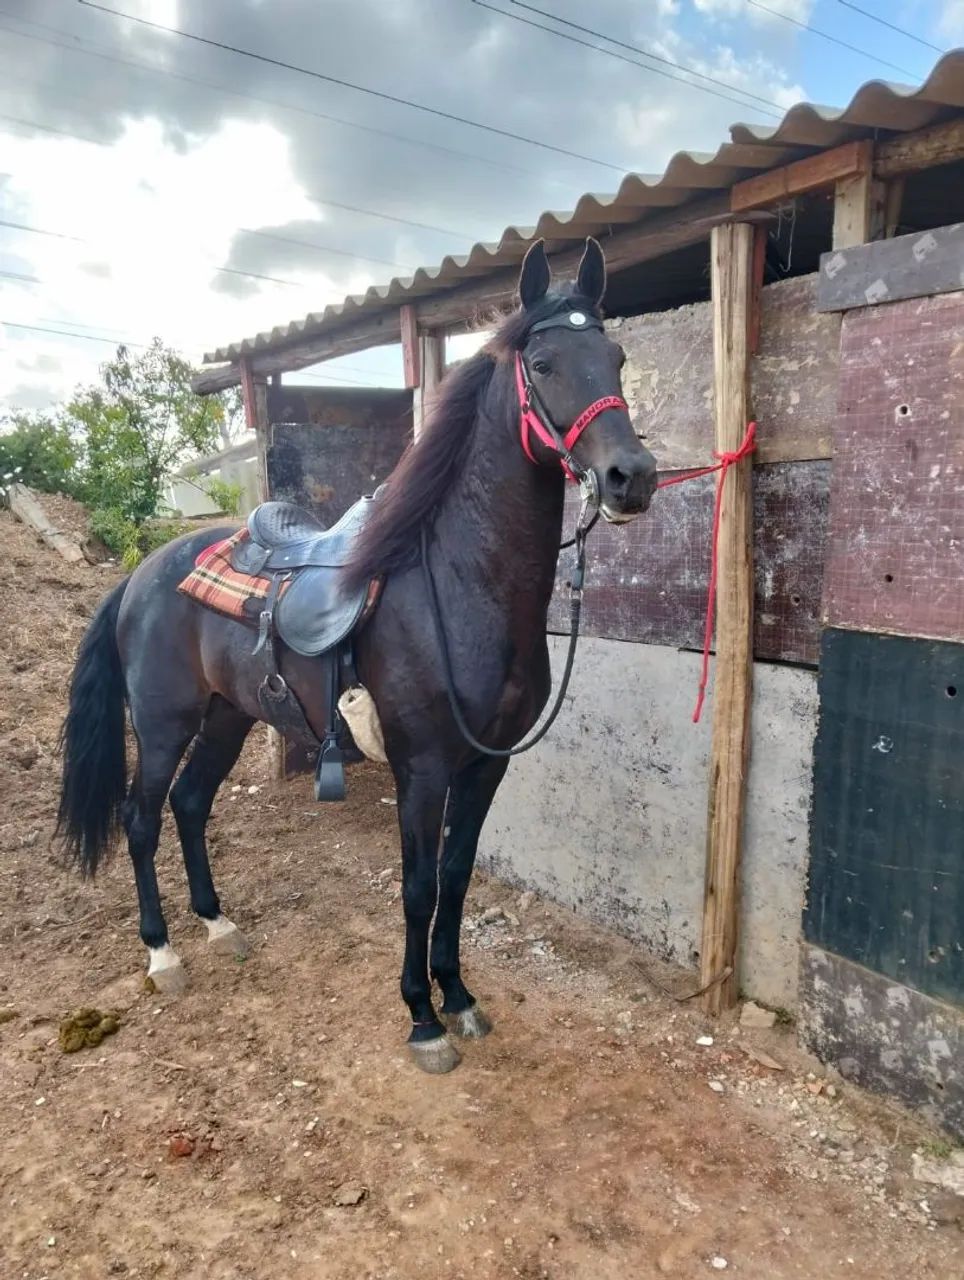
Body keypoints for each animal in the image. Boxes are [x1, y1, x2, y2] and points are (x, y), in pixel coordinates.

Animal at [56, 238, 657, 1074]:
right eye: (542, 364)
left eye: (616, 355)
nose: (632, 477)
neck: (461, 586)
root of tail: (141, 575)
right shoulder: (424, 766)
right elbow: (417, 886)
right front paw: (423, 1017)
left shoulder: (487, 764)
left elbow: (457, 877)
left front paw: (458, 995)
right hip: (164, 720)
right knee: (140, 818)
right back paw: (163, 953)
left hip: (228, 717)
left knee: (190, 804)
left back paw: (218, 925)